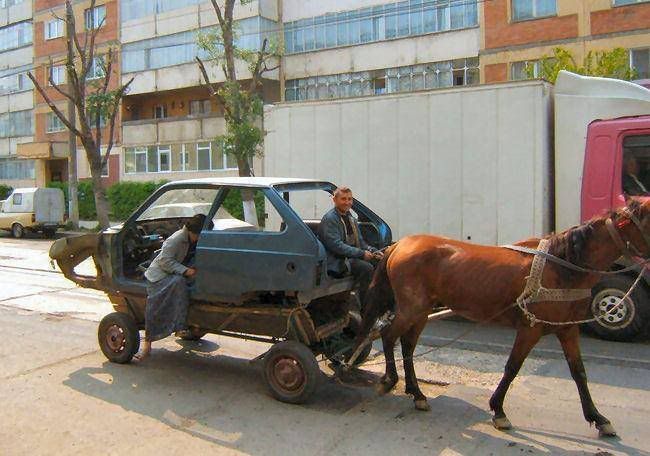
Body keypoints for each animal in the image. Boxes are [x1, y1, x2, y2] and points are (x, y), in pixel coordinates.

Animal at [352, 198, 648, 436]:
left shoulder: (567, 329)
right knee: (389, 335)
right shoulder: (530, 329)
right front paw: (499, 410)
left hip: (422, 310)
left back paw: (416, 392)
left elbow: (579, 372)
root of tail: (400, 245)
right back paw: (389, 380)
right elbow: (512, 367)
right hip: (411, 308)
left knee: (407, 345)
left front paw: (598, 418)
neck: (561, 267)